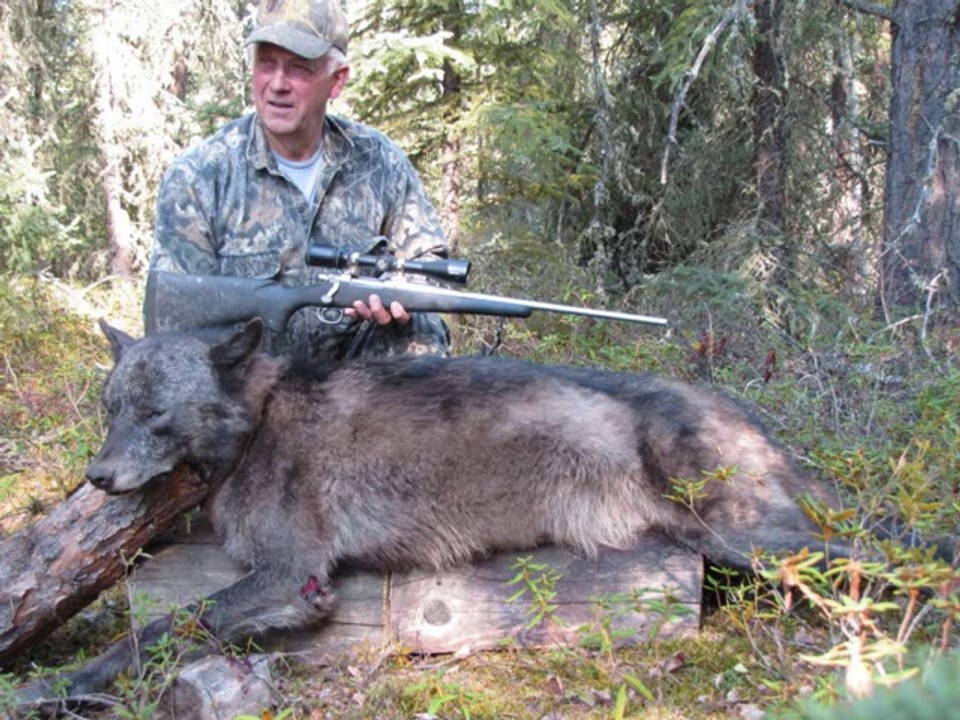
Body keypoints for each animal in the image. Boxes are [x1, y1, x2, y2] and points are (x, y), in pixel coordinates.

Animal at [18, 318, 838, 706]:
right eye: (111, 409)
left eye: (154, 415)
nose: (95, 479)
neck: (259, 420)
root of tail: (750, 417)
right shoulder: (287, 586)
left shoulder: (292, 576)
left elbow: (164, 624)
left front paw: (58, 684)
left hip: (748, 536)